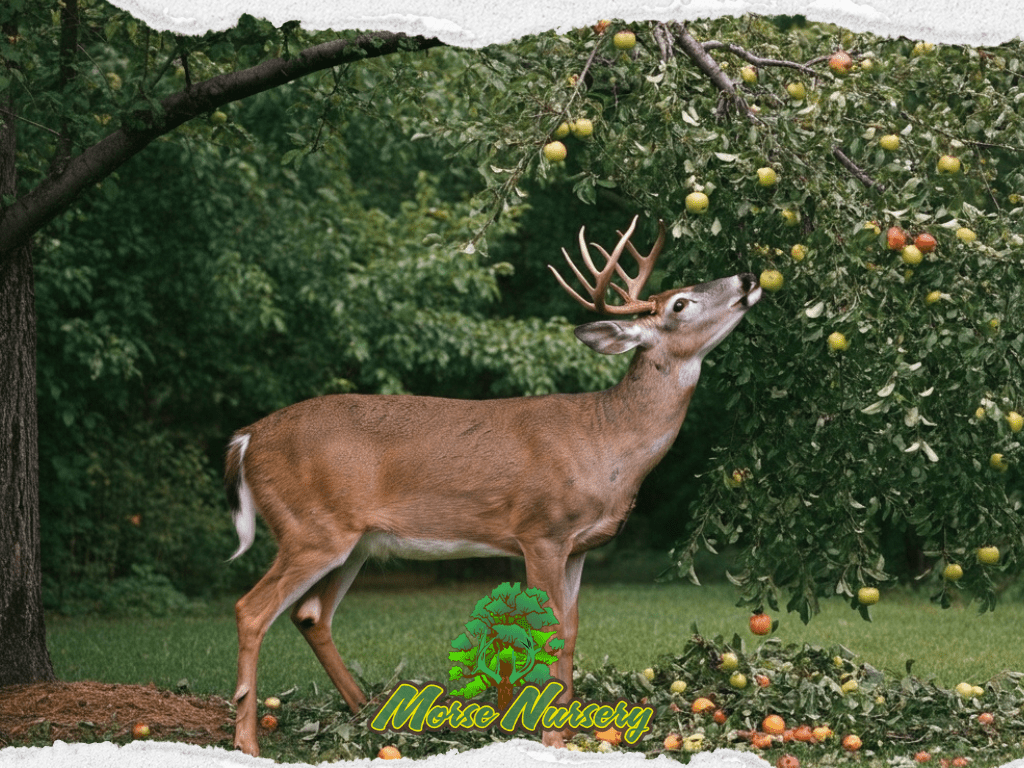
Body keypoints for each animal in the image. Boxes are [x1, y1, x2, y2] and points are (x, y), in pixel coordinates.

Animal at [224, 215, 761, 756]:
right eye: (680, 304)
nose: (748, 278)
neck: (605, 440)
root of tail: (246, 439)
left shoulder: (580, 547)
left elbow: (571, 631)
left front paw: (569, 732)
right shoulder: (540, 531)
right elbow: (547, 631)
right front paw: (549, 736)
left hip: (355, 542)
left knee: (311, 614)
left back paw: (372, 716)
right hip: (310, 528)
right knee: (252, 609)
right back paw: (248, 743)